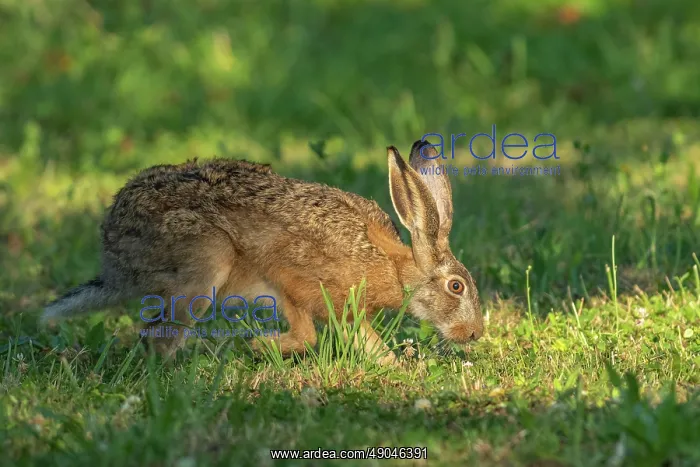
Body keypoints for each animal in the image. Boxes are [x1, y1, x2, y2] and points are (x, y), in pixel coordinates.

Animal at [41, 139, 484, 364]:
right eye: (456, 287)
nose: (475, 334)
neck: (393, 267)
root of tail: (113, 254)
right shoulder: (291, 280)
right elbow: (307, 334)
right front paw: (260, 346)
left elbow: (362, 341)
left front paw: (394, 368)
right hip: (205, 265)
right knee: (157, 337)